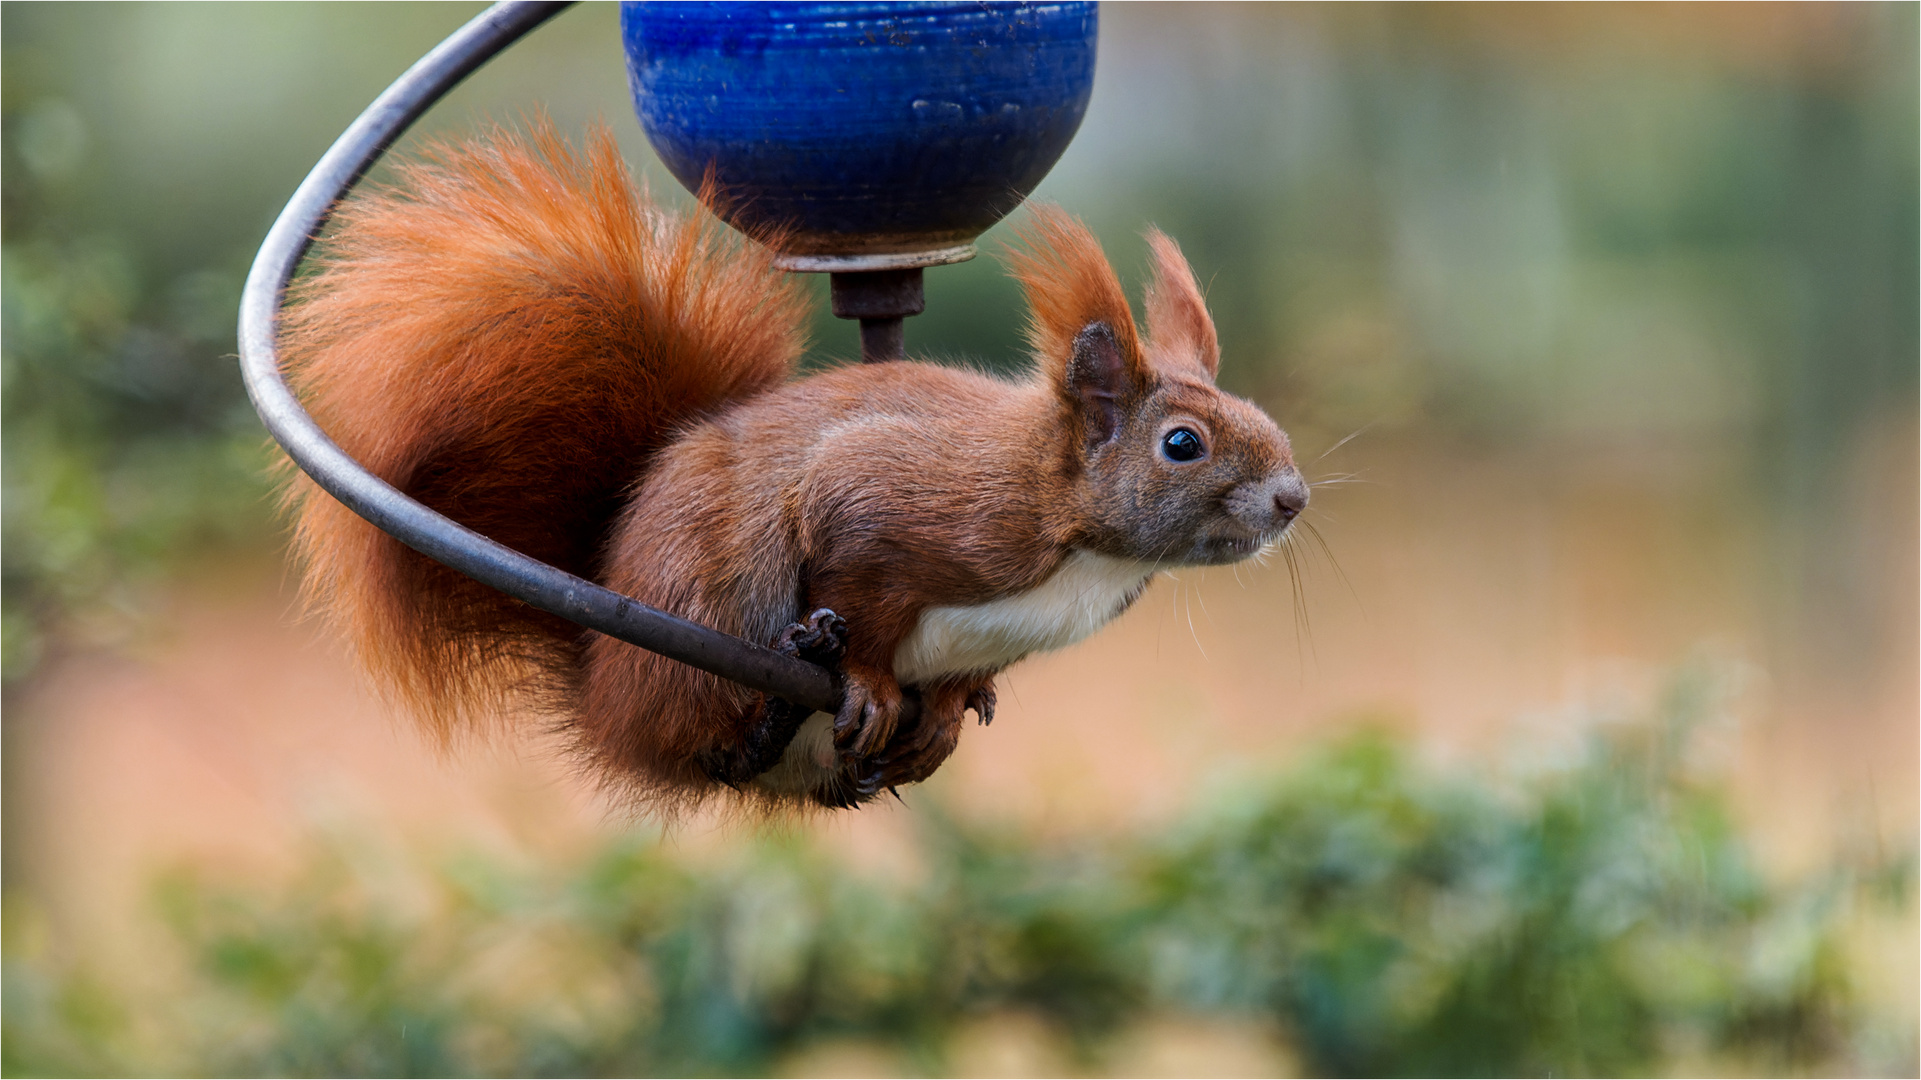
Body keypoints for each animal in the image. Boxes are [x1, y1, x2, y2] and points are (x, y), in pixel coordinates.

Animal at [280, 119, 1306, 807]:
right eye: (1182, 443)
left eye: (1265, 419)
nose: (1292, 499)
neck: (1080, 545)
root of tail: (602, 686)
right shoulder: (898, 503)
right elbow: (860, 580)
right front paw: (874, 684)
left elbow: (958, 678)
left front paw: (948, 708)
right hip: (709, 595)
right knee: (709, 747)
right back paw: (772, 708)